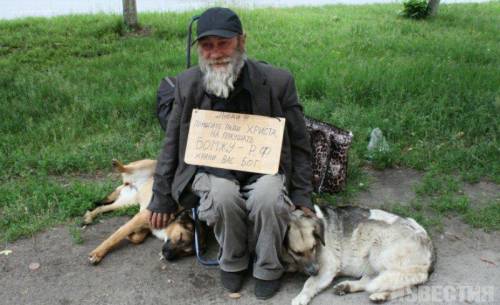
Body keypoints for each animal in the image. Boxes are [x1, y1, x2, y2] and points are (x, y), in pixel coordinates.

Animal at [284, 204, 436, 304]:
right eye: (297, 252)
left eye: (313, 247)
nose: (314, 271)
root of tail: (427, 240)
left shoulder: (328, 267)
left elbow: (309, 283)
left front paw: (300, 298)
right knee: (373, 281)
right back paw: (348, 287)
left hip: (379, 252)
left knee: (404, 287)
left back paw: (380, 296)